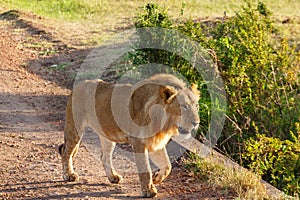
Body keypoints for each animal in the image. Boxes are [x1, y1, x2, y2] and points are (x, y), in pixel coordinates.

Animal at [58, 73, 199, 197]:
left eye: (196, 105)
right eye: (184, 107)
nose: (196, 123)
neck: (163, 123)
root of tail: (79, 84)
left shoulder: (156, 142)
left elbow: (167, 166)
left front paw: (156, 179)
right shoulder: (138, 142)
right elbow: (145, 168)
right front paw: (148, 190)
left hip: (107, 134)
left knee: (104, 156)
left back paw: (113, 177)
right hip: (75, 127)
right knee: (66, 152)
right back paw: (69, 175)